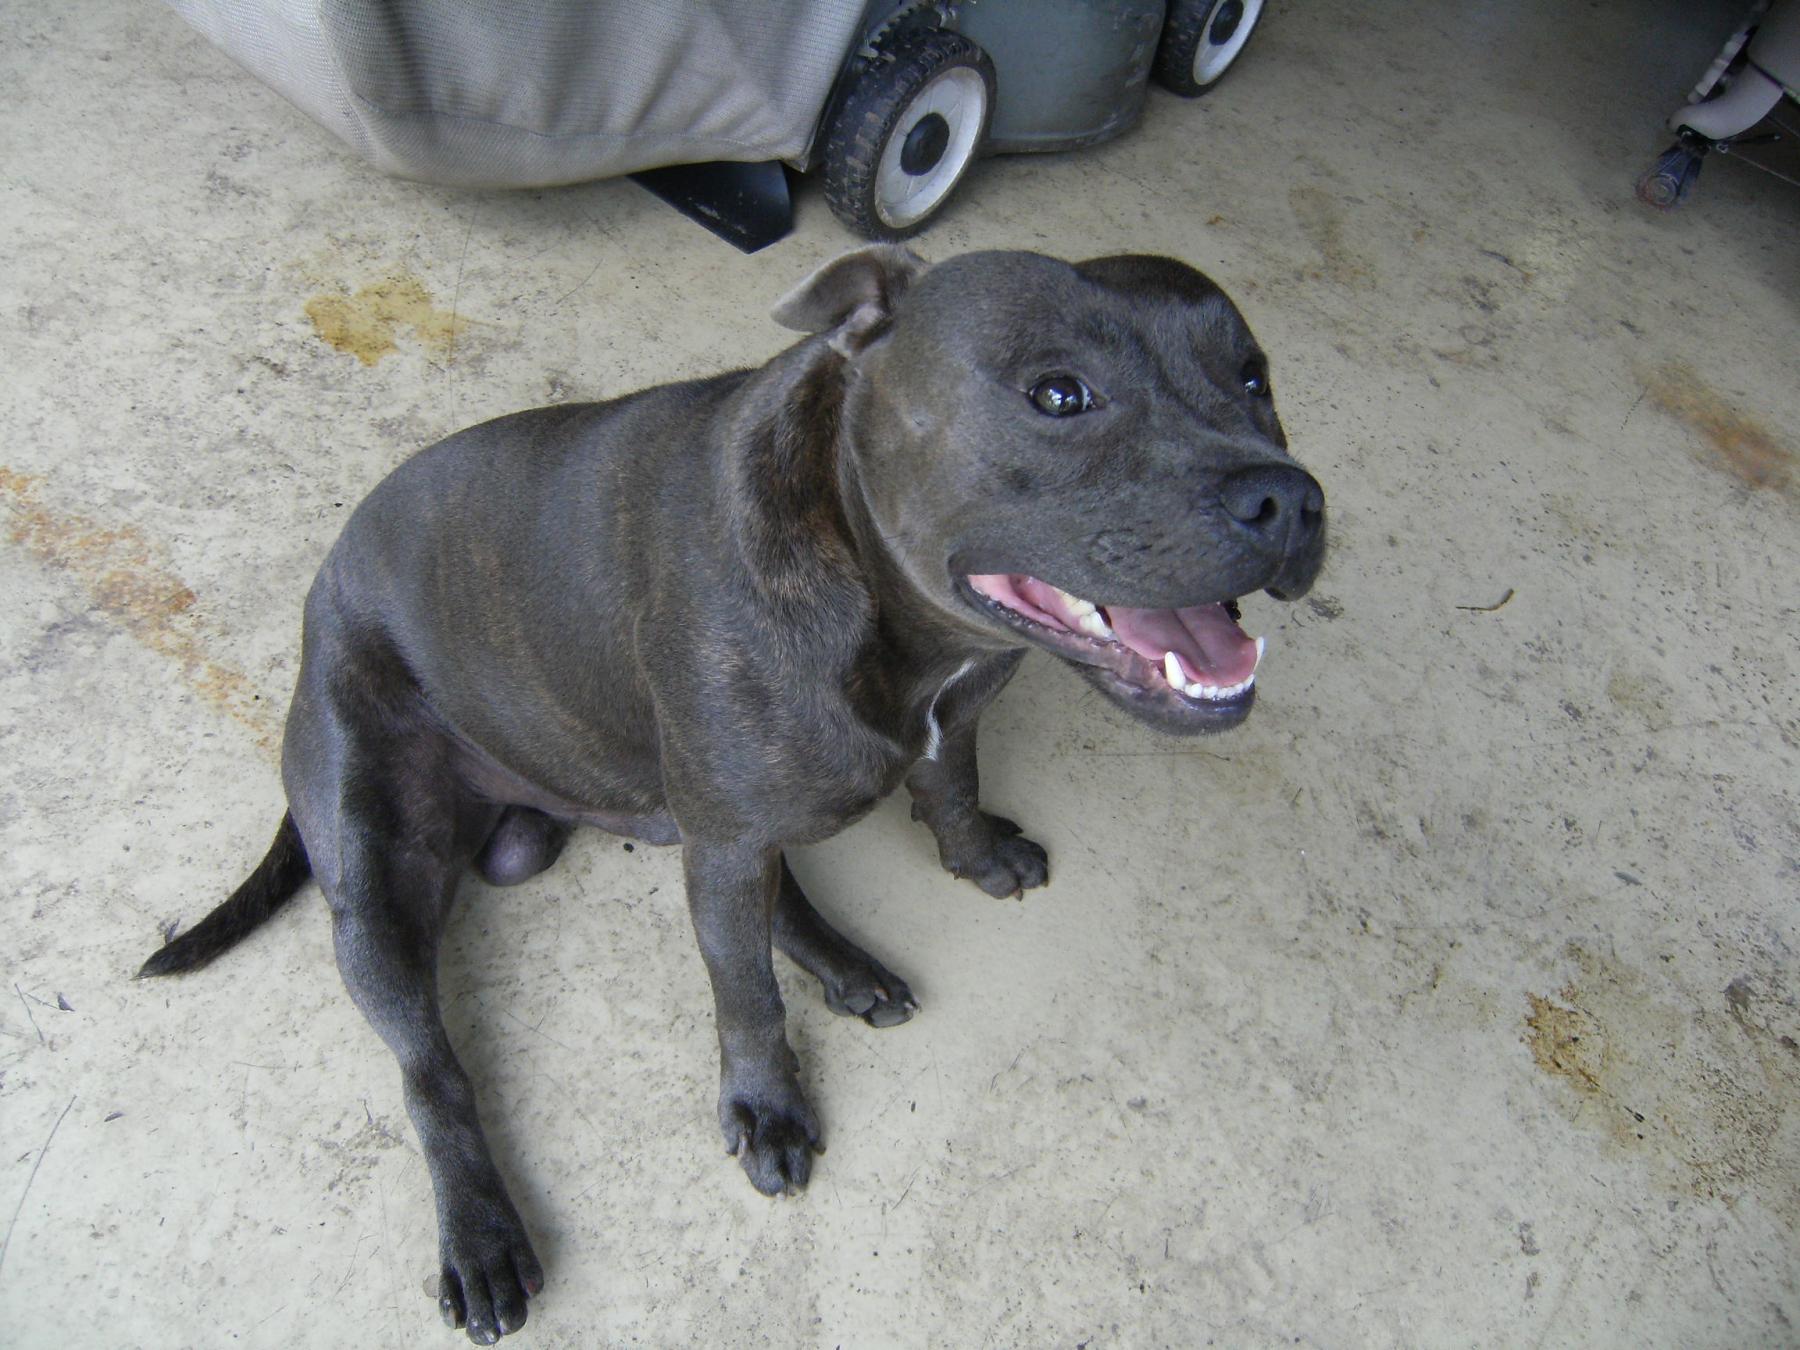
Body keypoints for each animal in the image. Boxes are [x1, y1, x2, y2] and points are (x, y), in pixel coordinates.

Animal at [140, 252, 1324, 1346]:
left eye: (1254, 376)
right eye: (1059, 393)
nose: (1289, 498)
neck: (895, 612)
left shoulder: (932, 729)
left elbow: (949, 784)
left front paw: (977, 851)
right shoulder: (724, 843)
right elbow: (743, 994)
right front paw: (767, 1109)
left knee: (776, 896)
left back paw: (845, 962)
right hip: (380, 879)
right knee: (433, 1065)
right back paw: (478, 1231)